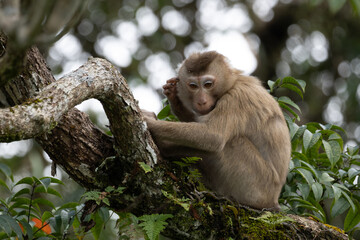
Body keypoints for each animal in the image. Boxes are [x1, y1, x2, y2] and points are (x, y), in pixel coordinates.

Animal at [144, 51, 292, 210]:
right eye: (193, 86)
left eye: (208, 84)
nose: (201, 101)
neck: (232, 83)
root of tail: (274, 200)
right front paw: (175, 100)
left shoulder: (236, 98)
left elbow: (213, 135)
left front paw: (147, 120)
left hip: (256, 186)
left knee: (230, 141)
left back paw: (166, 148)